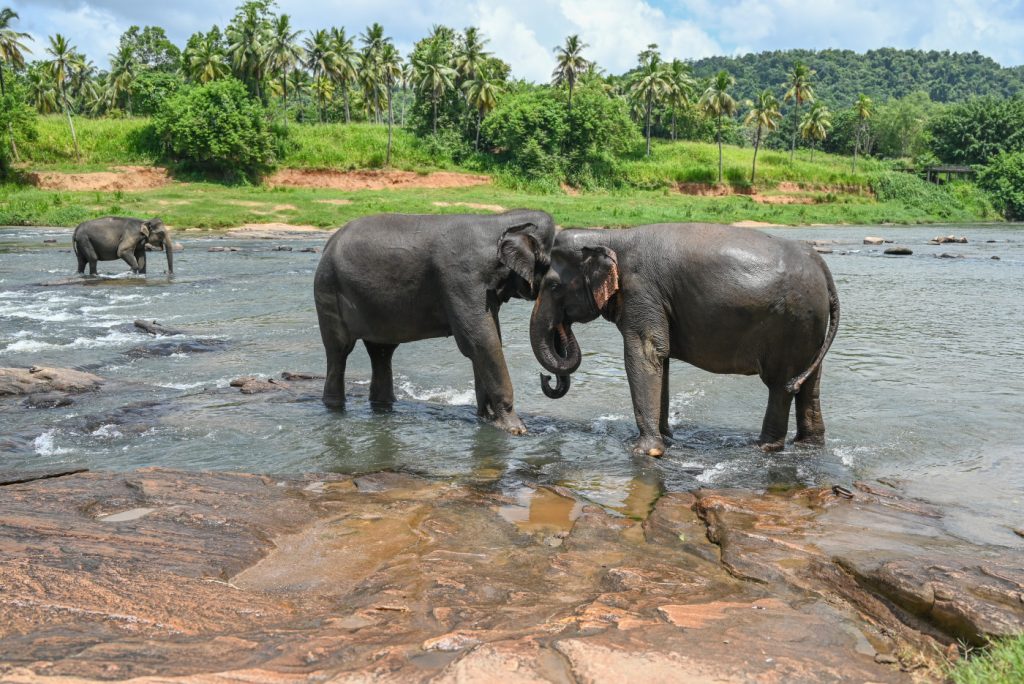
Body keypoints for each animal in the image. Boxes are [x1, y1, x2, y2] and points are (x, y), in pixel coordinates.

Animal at [313, 210, 556, 434]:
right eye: (553, 280)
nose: (546, 378)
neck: (500, 221)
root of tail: (329, 242)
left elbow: (489, 340)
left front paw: (486, 419)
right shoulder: (461, 277)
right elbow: (480, 342)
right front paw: (516, 429)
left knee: (381, 352)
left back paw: (383, 407)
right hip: (328, 290)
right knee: (339, 351)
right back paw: (335, 408)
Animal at [529, 223, 840, 456]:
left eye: (553, 286)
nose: (545, 377)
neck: (609, 237)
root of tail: (821, 265)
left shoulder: (641, 291)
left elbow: (644, 353)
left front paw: (646, 451)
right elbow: (660, 358)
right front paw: (666, 438)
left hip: (792, 322)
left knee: (780, 385)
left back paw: (763, 447)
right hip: (811, 325)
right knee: (809, 384)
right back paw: (808, 445)